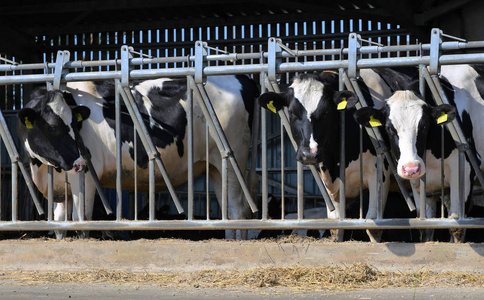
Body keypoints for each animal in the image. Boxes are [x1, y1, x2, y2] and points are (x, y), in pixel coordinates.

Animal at [17, 75, 260, 239]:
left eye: (75, 125)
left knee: (238, 209)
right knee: (228, 210)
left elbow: (80, 221)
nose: (79, 163)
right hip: (217, 167)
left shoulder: (84, 179)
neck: (43, 168)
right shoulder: (60, 187)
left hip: (233, 156)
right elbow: (59, 224)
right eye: (52, 126)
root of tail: (241, 78)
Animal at [260, 69, 418, 243]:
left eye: (326, 112)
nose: (309, 154)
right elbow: (336, 226)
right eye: (292, 112)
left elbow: (372, 227)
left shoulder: (379, 173)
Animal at [356, 65, 484, 241]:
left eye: (424, 126)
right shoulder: (419, 183)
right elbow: (426, 225)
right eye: (389, 128)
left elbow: (456, 225)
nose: (411, 168)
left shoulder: (465, 169)